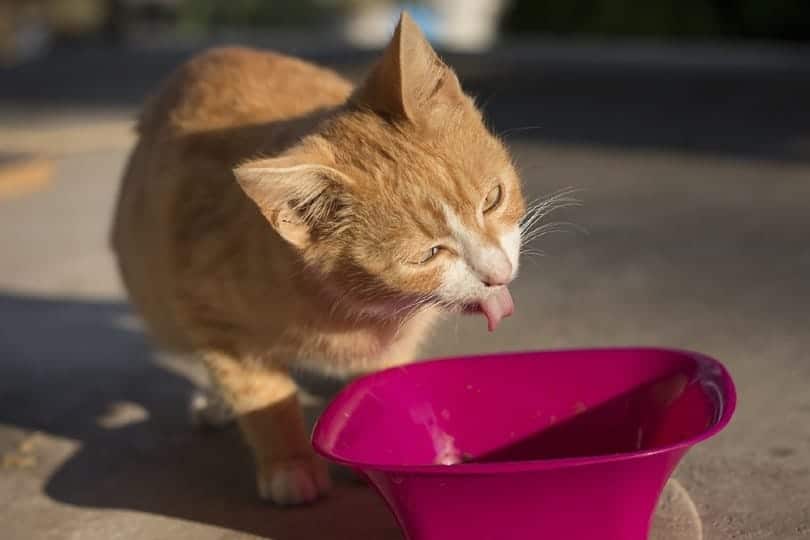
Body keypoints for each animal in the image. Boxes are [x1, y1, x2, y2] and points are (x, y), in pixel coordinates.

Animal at [112, 12, 524, 506]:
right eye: (428, 255)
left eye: (493, 199)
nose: (499, 272)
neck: (362, 310)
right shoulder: (208, 310)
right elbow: (259, 391)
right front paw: (288, 463)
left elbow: (382, 385)